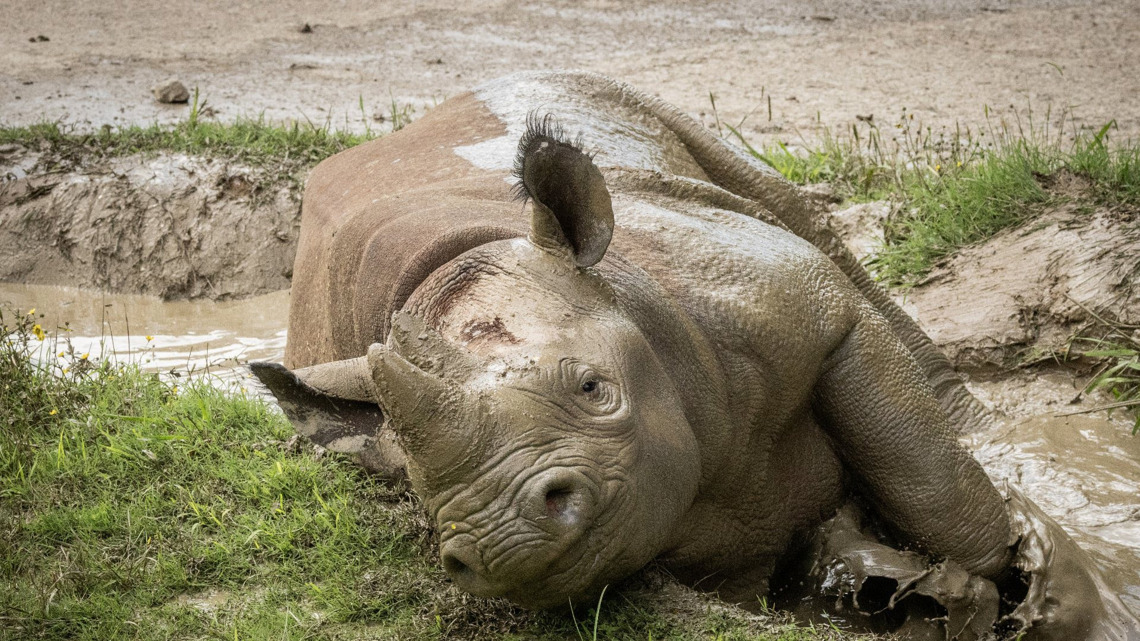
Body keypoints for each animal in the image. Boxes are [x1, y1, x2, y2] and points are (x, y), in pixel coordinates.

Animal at [252, 72, 1140, 639]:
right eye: (413, 480)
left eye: (593, 387)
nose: (500, 540)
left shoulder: (816, 315)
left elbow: (933, 483)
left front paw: (1042, 588)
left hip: (635, 106)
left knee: (807, 228)